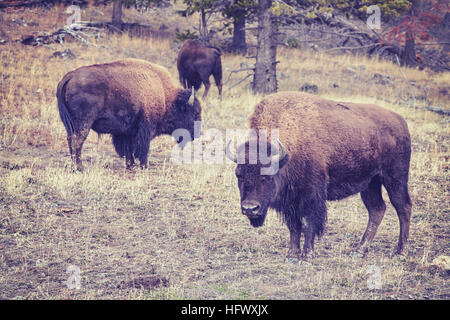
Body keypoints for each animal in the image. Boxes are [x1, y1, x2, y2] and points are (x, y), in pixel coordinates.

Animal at [57, 58, 201, 171]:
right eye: (194, 113)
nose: (197, 134)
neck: (166, 96)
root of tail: (70, 76)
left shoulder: (126, 131)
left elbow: (127, 149)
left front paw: (130, 165)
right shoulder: (145, 128)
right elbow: (142, 148)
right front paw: (144, 166)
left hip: (70, 124)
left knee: (70, 140)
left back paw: (74, 167)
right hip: (83, 123)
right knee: (77, 141)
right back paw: (80, 168)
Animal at [227, 91, 414, 262]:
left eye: (266, 176)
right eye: (239, 175)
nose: (250, 208)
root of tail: (401, 122)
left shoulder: (312, 195)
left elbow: (308, 223)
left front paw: (307, 255)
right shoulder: (291, 201)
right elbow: (294, 227)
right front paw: (292, 255)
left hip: (395, 178)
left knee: (403, 207)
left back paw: (400, 252)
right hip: (370, 183)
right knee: (377, 209)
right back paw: (359, 250)